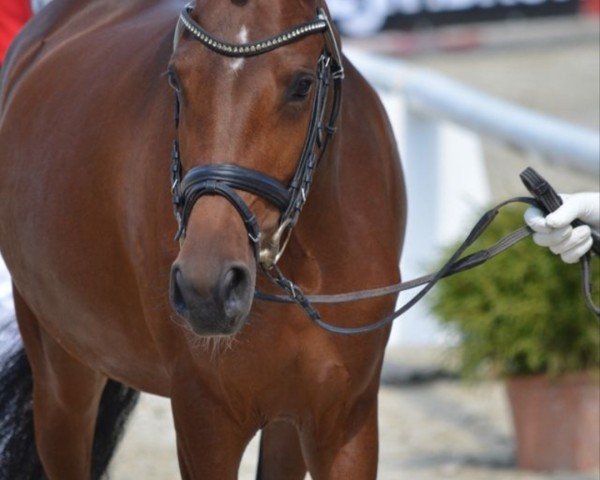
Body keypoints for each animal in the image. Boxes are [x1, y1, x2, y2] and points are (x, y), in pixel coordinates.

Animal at [0, 1, 408, 478]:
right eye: (176, 78)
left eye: (302, 85)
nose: (207, 287)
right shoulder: (205, 421)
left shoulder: (345, 422)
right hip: (63, 373)